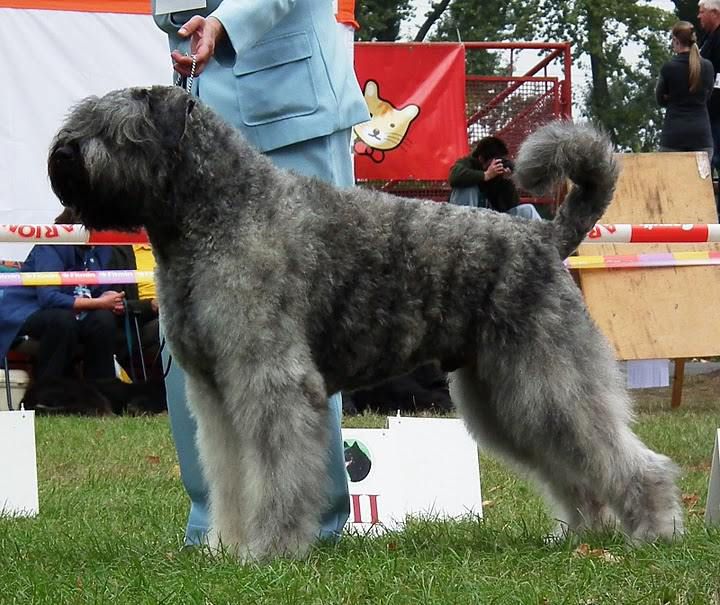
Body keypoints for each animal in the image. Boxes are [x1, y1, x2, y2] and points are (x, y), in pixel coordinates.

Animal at [49, 84, 680, 556]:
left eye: (115, 129)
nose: (63, 155)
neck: (219, 211)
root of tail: (546, 236)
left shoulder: (268, 382)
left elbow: (275, 477)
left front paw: (272, 550)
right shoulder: (217, 394)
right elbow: (230, 479)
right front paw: (228, 548)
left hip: (547, 379)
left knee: (620, 455)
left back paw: (654, 528)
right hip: (503, 394)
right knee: (572, 465)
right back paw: (582, 533)